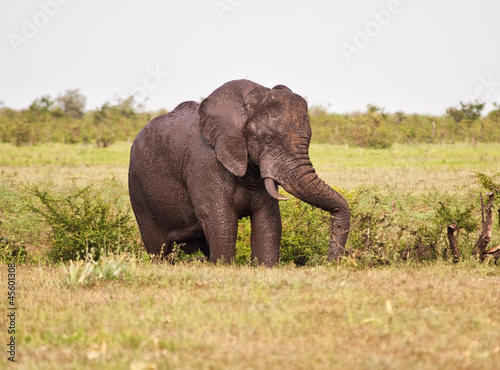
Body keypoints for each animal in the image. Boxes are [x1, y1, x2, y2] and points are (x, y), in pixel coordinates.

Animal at [127, 80, 350, 266]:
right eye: (267, 138)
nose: (330, 263)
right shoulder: (203, 162)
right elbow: (220, 219)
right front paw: (224, 268)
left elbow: (268, 222)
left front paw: (266, 267)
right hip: (138, 189)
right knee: (158, 247)